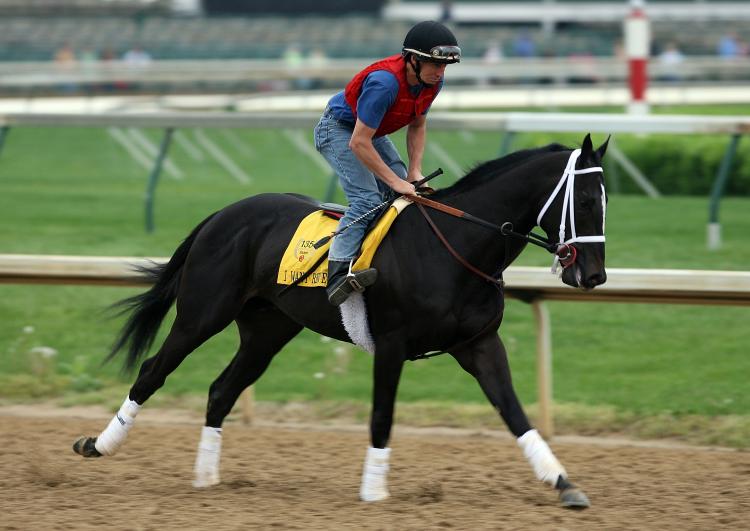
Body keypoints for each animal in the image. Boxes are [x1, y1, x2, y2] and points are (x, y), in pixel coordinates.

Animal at [73, 135, 612, 510]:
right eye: (586, 201)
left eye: (608, 201)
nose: (594, 275)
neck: (455, 245)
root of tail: (223, 213)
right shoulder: (392, 343)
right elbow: (382, 416)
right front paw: (374, 490)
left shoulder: (479, 344)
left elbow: (515, 413)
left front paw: (563, 482)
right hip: (202, 314)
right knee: (153, 371)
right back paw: (99, 444)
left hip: (267, 330)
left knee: (222, 390)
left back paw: (206, 476)